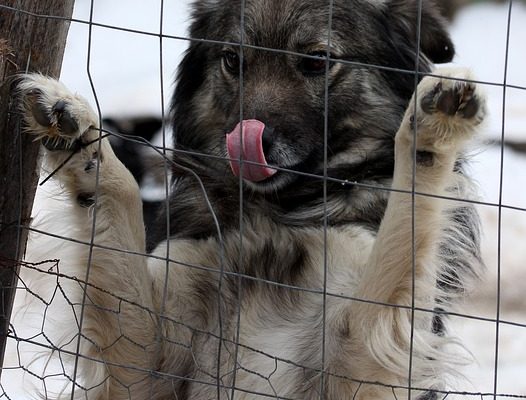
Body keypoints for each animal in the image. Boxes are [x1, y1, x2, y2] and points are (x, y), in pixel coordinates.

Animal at [15, 0, 486, 398]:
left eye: (316, 60)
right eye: (233, 61)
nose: (244, 144)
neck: (275, 211)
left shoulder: (364, 358)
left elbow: (404, 224)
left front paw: (430, 131)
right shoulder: (145, 361)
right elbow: (122, 193)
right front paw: (78, 135)